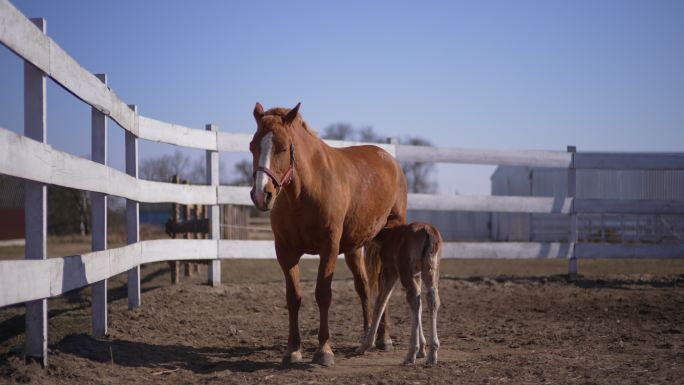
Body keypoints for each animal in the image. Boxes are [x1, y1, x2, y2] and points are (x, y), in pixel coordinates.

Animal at [250, 103, 406, 366]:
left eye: (283, 147)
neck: (302, 194)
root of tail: (390, 160)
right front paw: (293, 350)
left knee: (384, 285)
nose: (262, 195)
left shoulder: (329, 248)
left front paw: (324, 350)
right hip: (355, 248)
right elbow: (293, 298)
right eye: (252, 146)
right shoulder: (285, 252)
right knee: (364, 287)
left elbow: (323, 295)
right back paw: (368, 334)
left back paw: (384, 338)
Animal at [358, 220, 444, 364]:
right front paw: (422, 350)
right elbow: (420, 307)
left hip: (404, 271)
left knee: (413, 299)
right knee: (431, 298)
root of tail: (427, 231)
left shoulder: (390, 270)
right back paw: (432, 355)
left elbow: (381, 302)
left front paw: (365, 345)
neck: (386, 235)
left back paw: (410, 354)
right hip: (432, 268)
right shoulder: (417, 274)